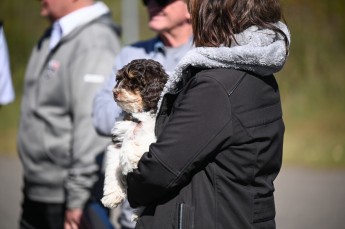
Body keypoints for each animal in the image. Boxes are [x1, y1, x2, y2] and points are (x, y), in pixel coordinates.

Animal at [101, 58, 168, 217]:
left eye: (133, 81)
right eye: (119, 79)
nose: (115, 92)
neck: (137, 115)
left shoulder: (152, 131)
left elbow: (134, 137)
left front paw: (129, 159)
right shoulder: (117, 141)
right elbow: (113, 168)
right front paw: (112, 196)